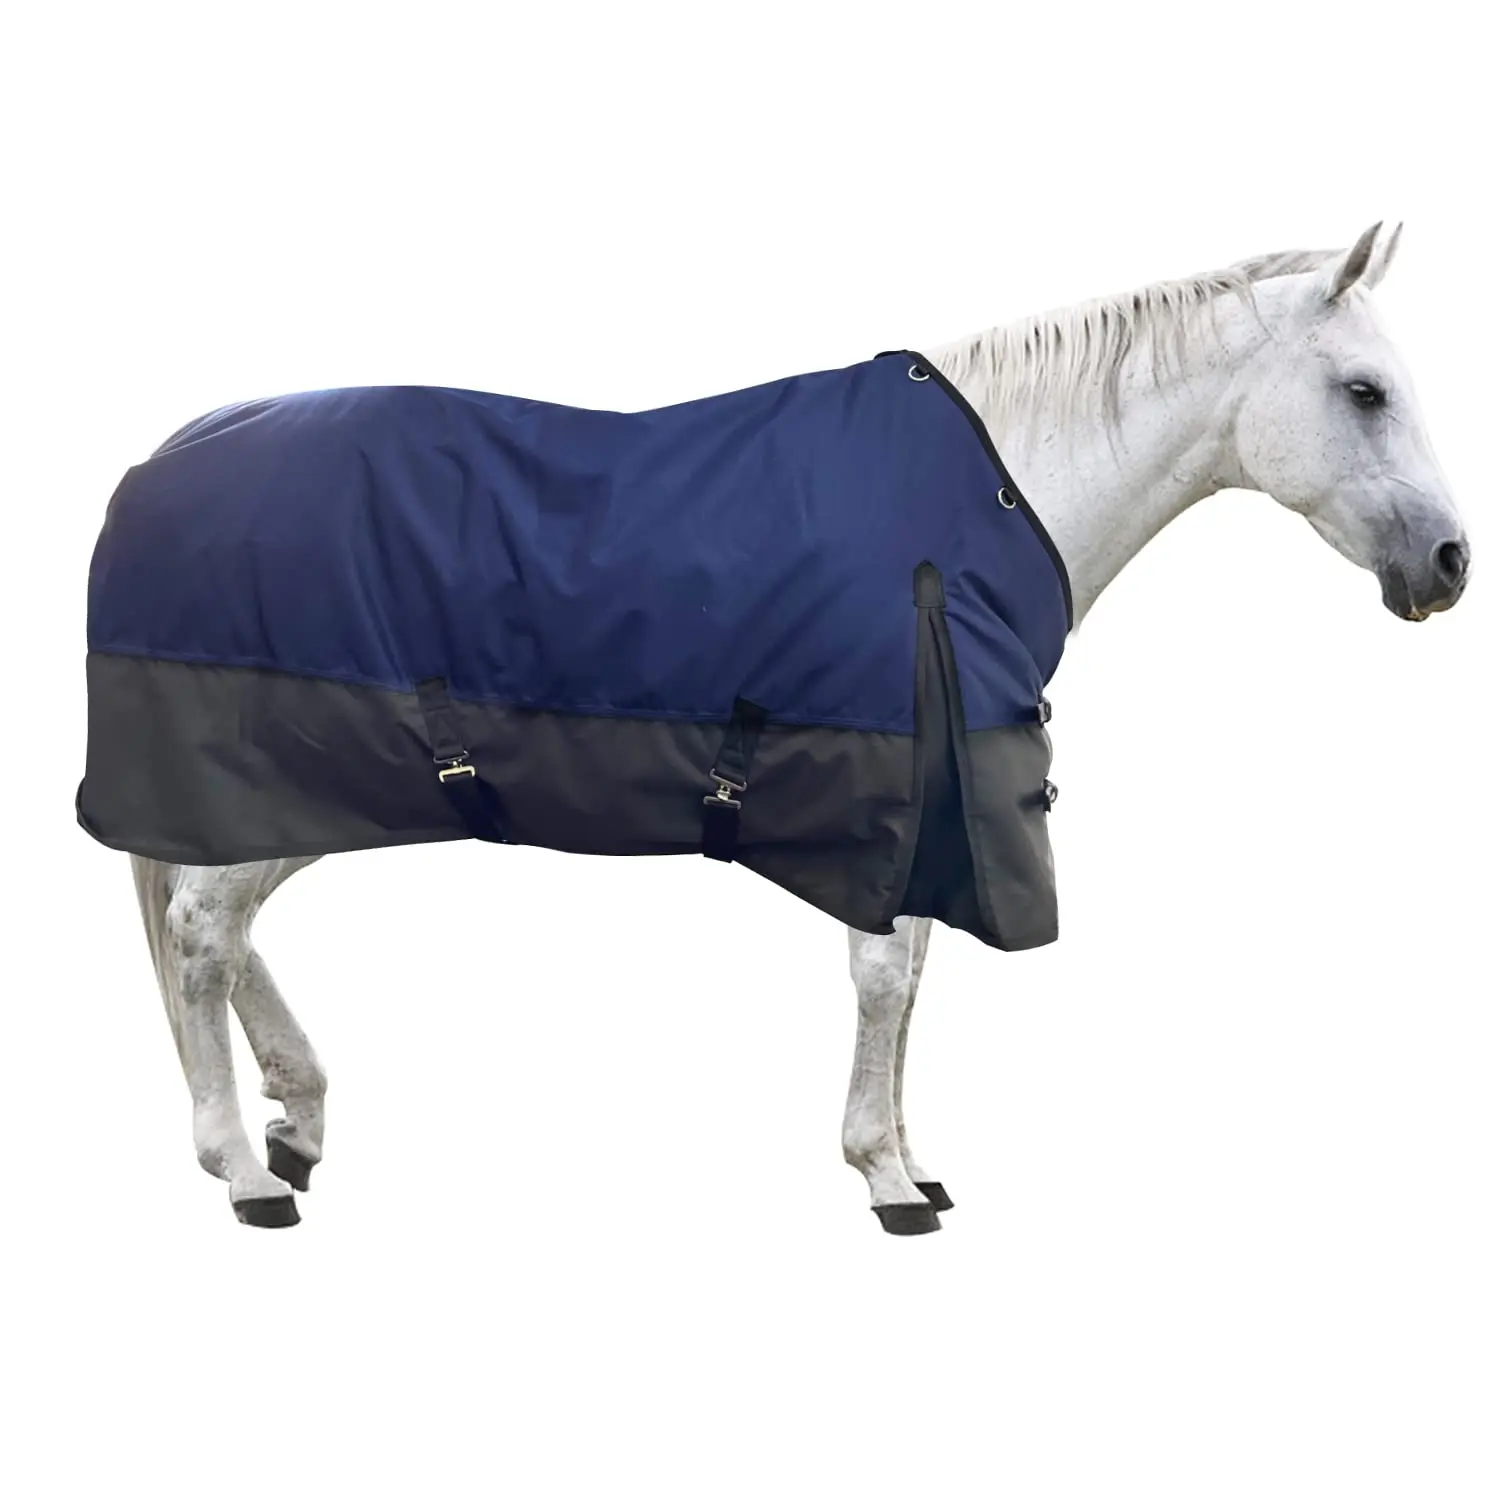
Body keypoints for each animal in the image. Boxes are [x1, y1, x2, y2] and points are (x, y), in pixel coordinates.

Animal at [110, 221, 1469, 1231]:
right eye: (1365, 392)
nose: (1451, 565)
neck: (978, 503)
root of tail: (174, 453)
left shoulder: (935, 798)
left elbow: (911, 977)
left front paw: (911, 1160)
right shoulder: (900, 788)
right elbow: (884, 976)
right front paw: (885, 1179)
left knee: (220, 920)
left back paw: (294, 1119)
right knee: (202, 932)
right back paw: (243, 1167)